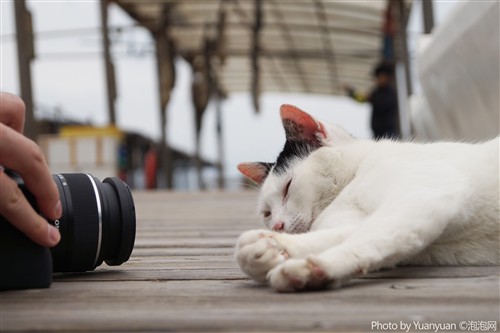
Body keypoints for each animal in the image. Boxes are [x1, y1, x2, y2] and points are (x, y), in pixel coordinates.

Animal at [235, 105, 500, 292]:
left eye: (288, 188)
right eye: (267, 213)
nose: (278, 225)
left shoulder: (423, 193)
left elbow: (366, 240)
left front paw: (314, 267)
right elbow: (338, 236)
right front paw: (269, 250)